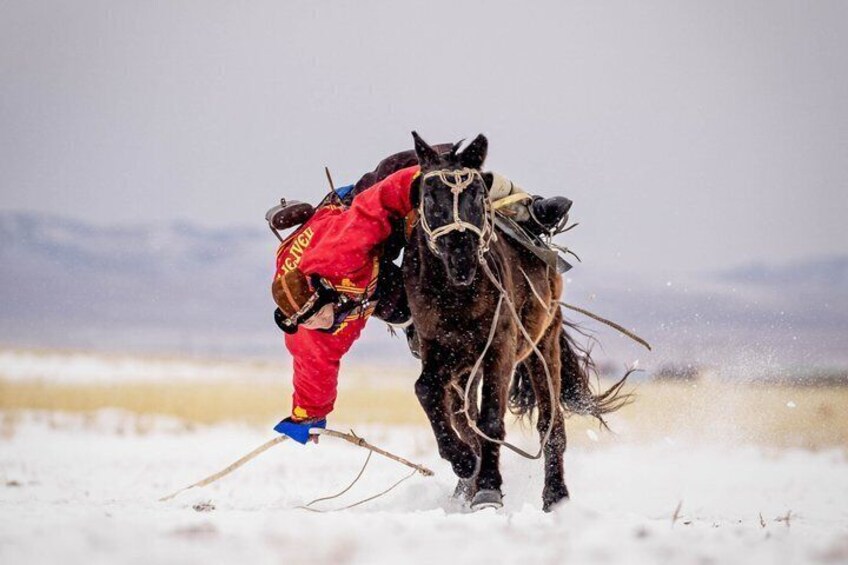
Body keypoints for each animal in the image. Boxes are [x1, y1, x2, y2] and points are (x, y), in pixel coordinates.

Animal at [402, 132, 630, 511]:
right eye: (429, 197)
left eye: (478, 195)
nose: (463, 261)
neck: (454, 294)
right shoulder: (440, 350)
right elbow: (427, 391)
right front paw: (464, 462)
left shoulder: (500, 346)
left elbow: (491, 419)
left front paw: (488, 489)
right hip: (468, 370)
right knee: (464, 415)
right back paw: (465, 483)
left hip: (544, 345)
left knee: (551, 423)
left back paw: (556, 495)